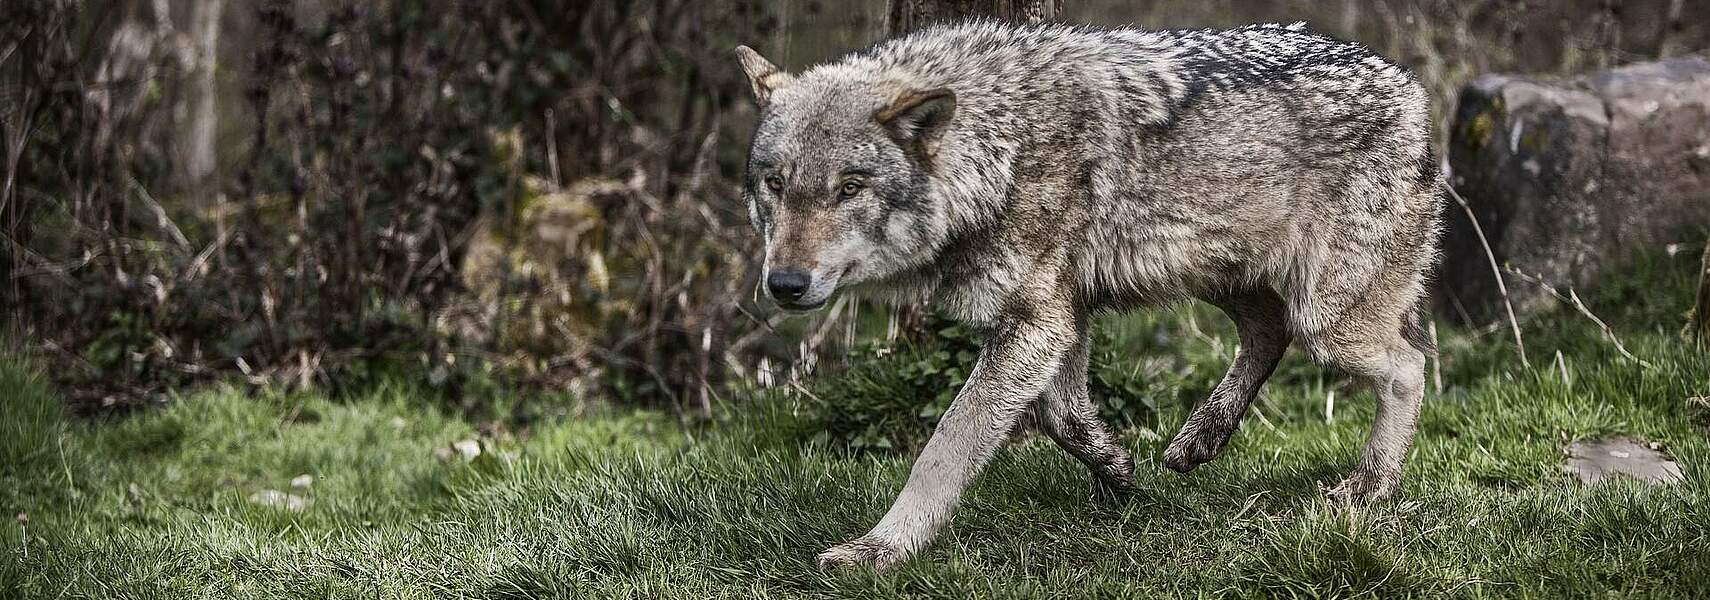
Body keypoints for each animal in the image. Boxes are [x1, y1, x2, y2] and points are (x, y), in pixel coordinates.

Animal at [735, 18, 1443, 570]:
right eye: (775, 184)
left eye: (850, 188)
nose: (784, 283)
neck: (999, 147)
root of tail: (1411, 88)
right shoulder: (1059, 315)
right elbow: (1063, 417)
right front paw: (1118, 470)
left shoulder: (1038, 323)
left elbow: (943, 449)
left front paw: (881, 549)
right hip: (1220, 276)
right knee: (1270, 330)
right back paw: (1200, 439)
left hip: (1327, 319)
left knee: (1408, 365)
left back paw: (1370, 489)